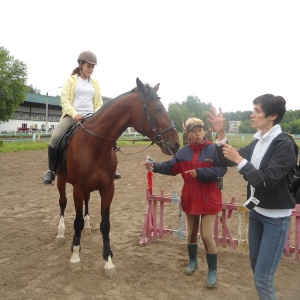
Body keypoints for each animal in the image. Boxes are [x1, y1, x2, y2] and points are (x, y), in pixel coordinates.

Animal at [55, 77, 179, 274]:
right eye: (158, 108)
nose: (176, 144)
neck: (94, 145)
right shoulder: (77, 188)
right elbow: (77, 222)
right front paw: (75, 257)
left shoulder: (107, 188)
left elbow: (105, 225)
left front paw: (108, 261)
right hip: (61, 180)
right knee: (62, 203)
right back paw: (60, 233)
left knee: (86, 202)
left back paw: (88, 227)